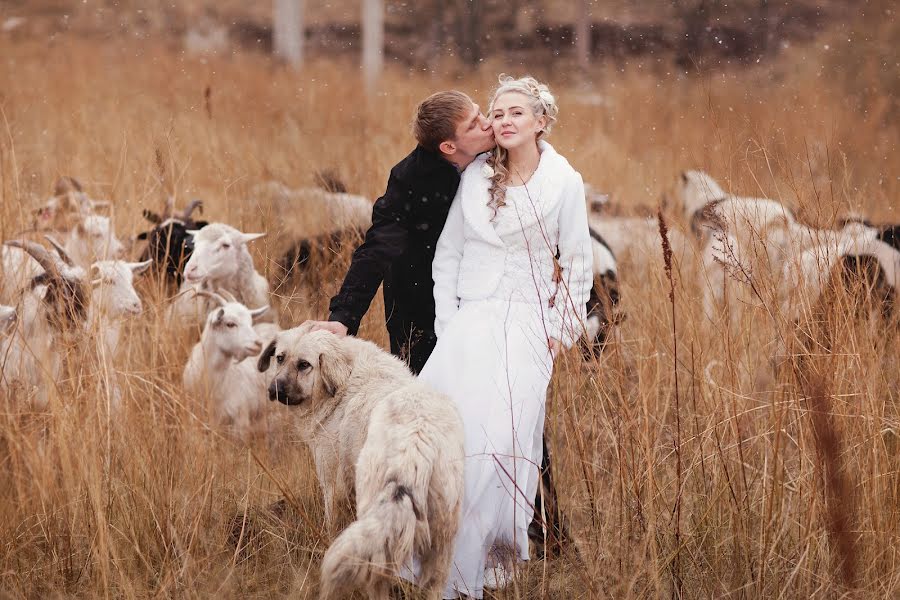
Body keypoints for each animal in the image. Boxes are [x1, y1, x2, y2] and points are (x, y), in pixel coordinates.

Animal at [255, 326, 460, 596]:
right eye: (280, 358)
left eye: (304, 365)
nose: (275, 390)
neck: (343, 380)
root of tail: (415, 439)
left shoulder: (332, 486)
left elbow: (331, 527)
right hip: (441, 539)